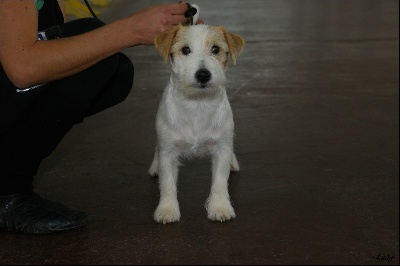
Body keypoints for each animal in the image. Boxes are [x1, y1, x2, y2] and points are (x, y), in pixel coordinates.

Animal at [149, 23, 245, 224]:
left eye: (215, 49)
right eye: (185, 50)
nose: (203, 75)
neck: (197, 104)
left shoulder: (221, 150)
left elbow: (219, 183)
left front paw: (220, 207)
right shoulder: (168, 152)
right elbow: (167, 184)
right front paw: (167, 209)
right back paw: (155, 166)